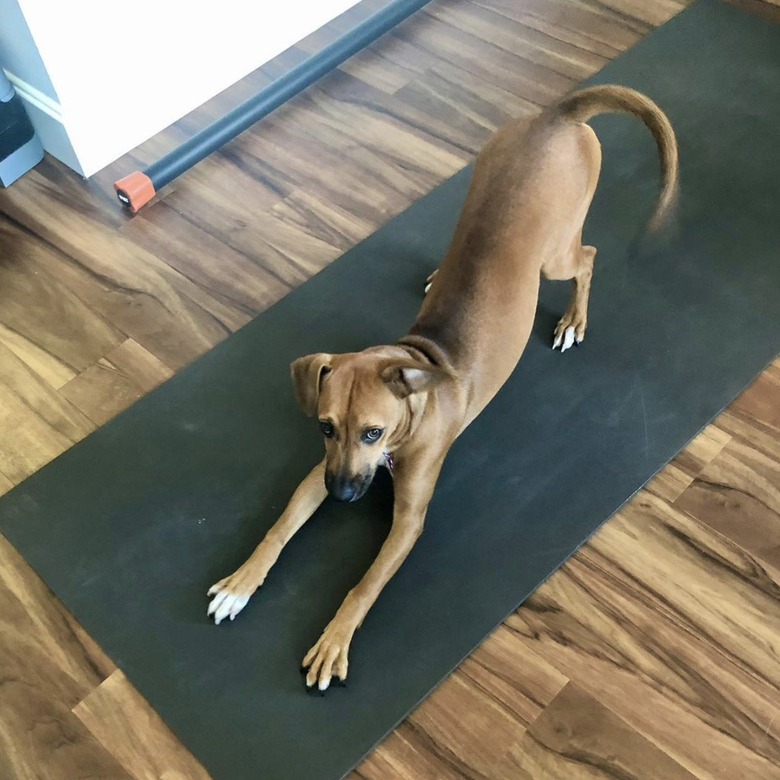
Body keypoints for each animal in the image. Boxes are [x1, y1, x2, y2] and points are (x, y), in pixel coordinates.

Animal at [206, 85, 676, 692]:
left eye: (374, 432)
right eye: (326, 427)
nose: (343, 496)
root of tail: (557, 115)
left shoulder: (408, 519)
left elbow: (365, 585)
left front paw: (334, 640)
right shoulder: (319, 471)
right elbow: (278, 528)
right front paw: (241, 582)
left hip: (555, 254)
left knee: (588, 259)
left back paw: (574, 318)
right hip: (478, 188)